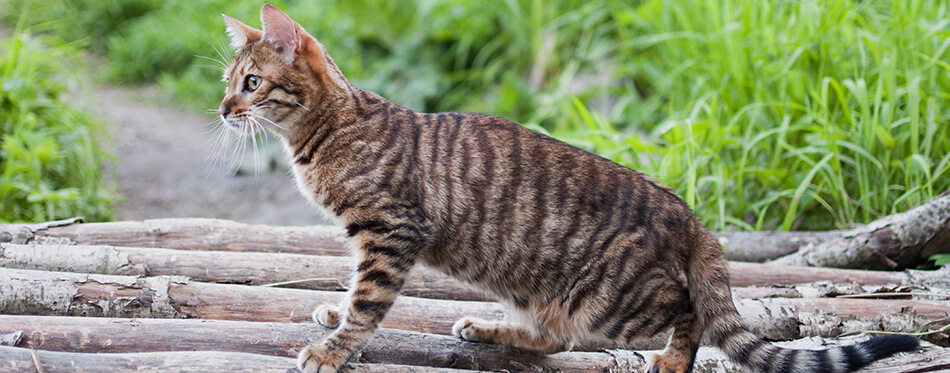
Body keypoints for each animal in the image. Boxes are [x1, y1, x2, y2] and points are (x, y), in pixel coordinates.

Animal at [218, 3, 924, 372]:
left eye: (251, 84)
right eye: (230, 83)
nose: (223, 109)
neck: (326, 134)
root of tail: (690, 216)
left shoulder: (391, 231)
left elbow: (368, 301)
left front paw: (333, 347)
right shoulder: (369, 238)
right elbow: (352, 290)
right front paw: (333, 315)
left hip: (613, 300)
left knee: (686, 311)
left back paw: (673, 359)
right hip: (539, 289)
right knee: (555, 338)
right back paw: (489, 330)